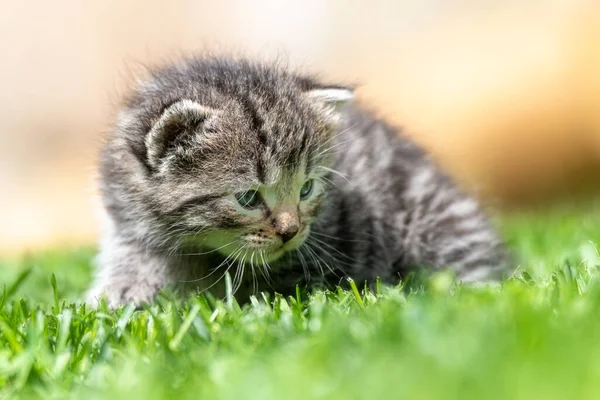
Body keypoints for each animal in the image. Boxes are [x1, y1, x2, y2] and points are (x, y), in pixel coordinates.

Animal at [86, 56, 510, 306]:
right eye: (248, 198)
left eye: (306, 188)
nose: (291, 232)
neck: (193, 246)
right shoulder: (130, 226)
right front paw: (118, 298)